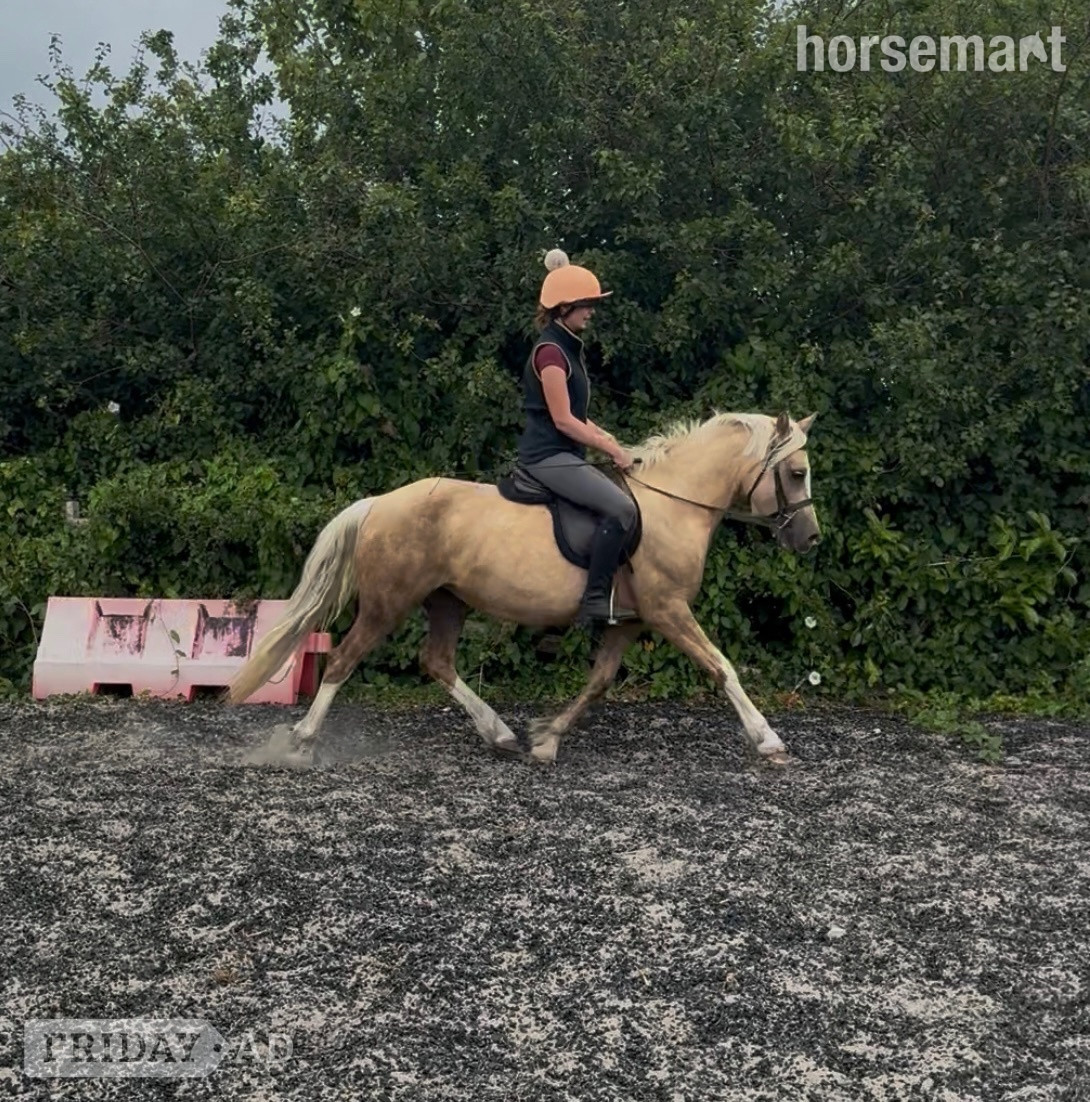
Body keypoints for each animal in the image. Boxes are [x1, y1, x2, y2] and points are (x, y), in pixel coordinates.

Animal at [228, 410, 820, 766]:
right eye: (796, 472)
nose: (810, 538)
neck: (672, 505)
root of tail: (379, 502)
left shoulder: (629, 623)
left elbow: (599, 683)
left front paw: (546, 738)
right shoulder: (668, 610)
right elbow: (722, 667)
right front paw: (767, 737)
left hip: (448, 601)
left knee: (436, 661)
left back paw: (500, 733)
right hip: (387, 604)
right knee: (345, 659)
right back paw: (301, 740)